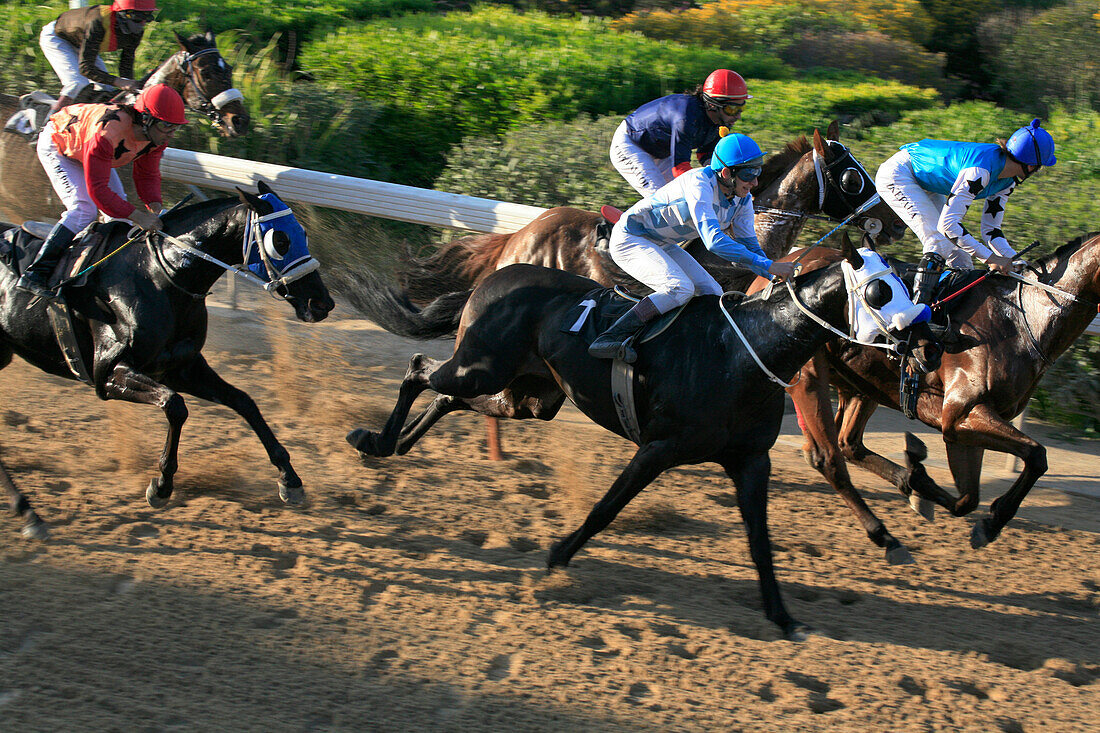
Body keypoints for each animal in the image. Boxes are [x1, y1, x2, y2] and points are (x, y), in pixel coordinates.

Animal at [1, 181, 334, 537]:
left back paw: (28, 512)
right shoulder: (108, 373)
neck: (160, 277)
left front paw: (290, 480)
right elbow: (175, 406)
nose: (322, 303)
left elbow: (244, 402)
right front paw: (161, 486)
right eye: (280, 241)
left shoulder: (182, 366)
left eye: (303, 233)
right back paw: (28, 514)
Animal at [347, 235, 941, 638]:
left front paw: (782, 615)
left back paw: (397, 444)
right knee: (419, 369)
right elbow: (605, 509)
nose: (930, 336)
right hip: (483, 368)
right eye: (880, 289)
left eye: (906, 280)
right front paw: (557, 556)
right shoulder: (659, 449)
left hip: (528, 394)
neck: (742, 350)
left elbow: (759, 542)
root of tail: (493, 276)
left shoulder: (751, 460)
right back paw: (373, 440)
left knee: (448, 395)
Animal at [748, 232, 1100, 559]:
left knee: (848, 443)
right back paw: (885, 536)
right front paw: (992, 521)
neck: (1019, 321)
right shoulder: (961, 413)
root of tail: (778, 267)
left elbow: (968, 498)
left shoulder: (962, 427)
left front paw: (920, 482)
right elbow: (1036, 455)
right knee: (827, 456)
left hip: (862, 384)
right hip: (807, 374)